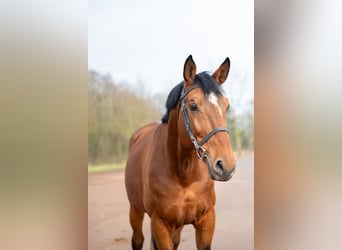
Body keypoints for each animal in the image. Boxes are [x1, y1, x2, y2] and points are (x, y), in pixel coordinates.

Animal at [125, 55, 235, 249]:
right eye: (193, 106)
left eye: (226, 106)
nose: (225, 165)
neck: (184, 176)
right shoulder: (160, 224)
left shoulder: (207, 221)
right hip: (135, 210)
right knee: (137, 240)